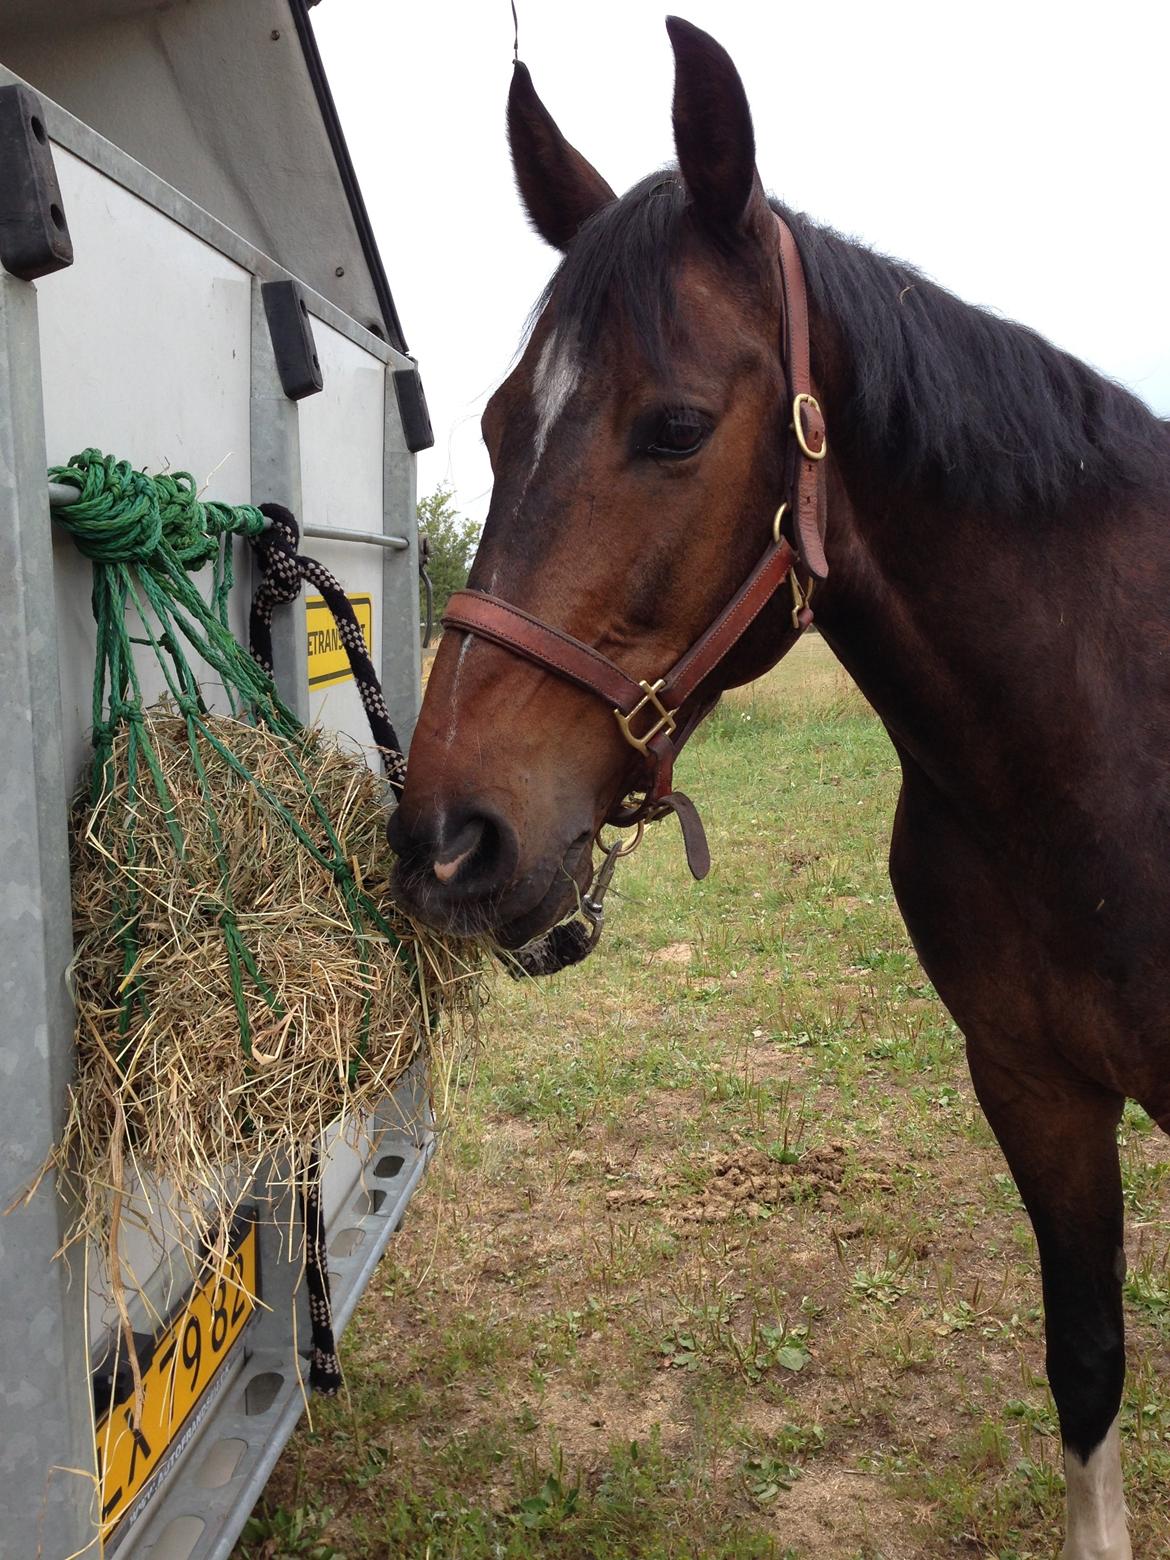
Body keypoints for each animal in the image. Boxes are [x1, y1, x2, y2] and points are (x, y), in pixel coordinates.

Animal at [394, 15, 1170, 1560]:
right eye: (499, 426)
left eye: (678, 425)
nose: (448, 840)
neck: (1095, 751)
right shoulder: (1035, 1088)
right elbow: (1086, 1362)